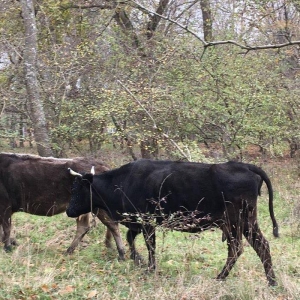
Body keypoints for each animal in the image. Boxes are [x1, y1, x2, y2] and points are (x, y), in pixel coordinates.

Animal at [66, 159, 278, 286]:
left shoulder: (147, 221)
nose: (68, 211)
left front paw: (150, 268)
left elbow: (150, 245)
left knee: (237, 248)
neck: (122, 183)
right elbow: (130, 238)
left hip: (236, 221)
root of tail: (244, 165)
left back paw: (221, 277)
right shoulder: (137, 222)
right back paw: (271, 281)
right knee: (261, 245)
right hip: (246, 222)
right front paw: (137, 259)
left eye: (76, 189)